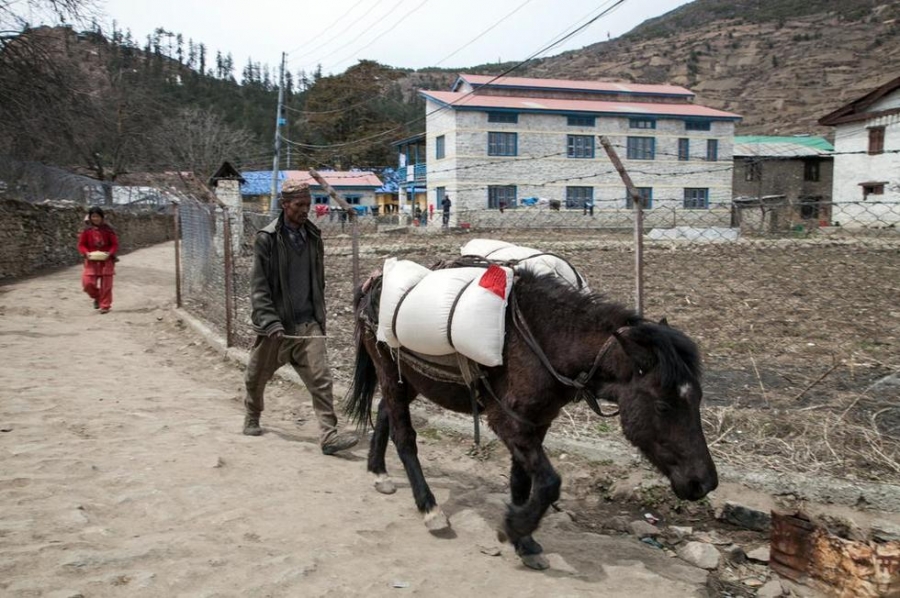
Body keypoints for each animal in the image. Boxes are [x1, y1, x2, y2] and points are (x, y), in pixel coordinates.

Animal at [344, 268, 716, 572]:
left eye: (697, 397)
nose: (704, 482)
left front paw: (525, 544)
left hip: (411, 380)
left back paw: (378, 472)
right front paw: (513, 528)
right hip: (389, 371)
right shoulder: (506, 421)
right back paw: (430, 509)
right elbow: (550, 482)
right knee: (404, 436)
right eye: (664, 405)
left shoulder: (536, 422)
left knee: (384, 411)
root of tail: (372, 284)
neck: (544, 341)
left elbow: (522, 480)